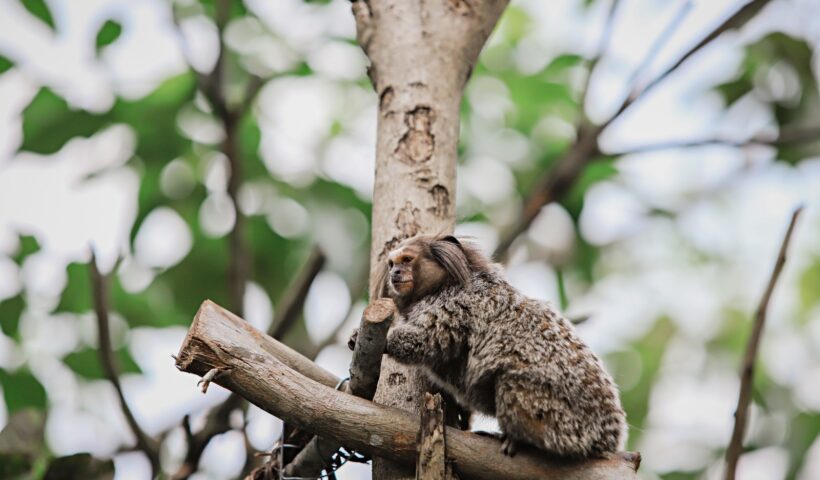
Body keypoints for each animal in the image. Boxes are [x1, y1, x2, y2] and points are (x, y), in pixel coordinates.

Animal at [360, 234, 628, 460]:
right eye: (391, 264)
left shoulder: (454, 306)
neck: (442, 286)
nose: (395, 272)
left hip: (560, 419)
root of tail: (606, 438)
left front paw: (381, 340)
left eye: (407, 260)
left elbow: (425, 341)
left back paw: (519, 439)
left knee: (509, 382)